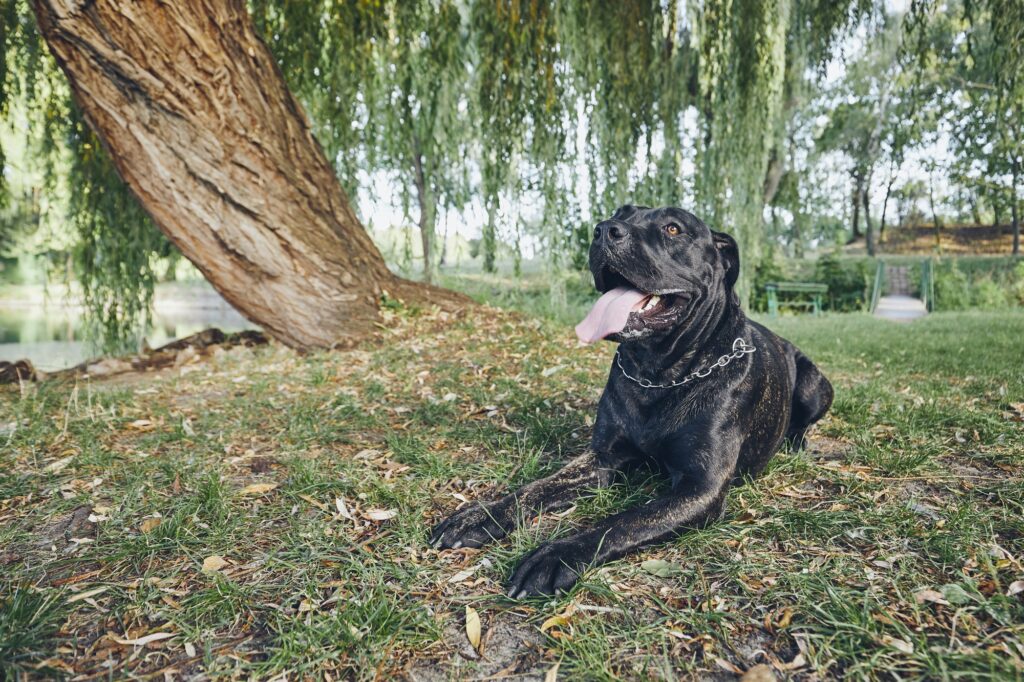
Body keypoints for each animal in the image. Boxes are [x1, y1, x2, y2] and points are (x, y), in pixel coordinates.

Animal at [428, 202, 835, 593]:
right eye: (620, 213)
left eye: (673, 228)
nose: (603, 229)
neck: (658, 374)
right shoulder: (602, 458)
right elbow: (534, 488)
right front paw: (482, 514)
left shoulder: (699, 487)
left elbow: (623, 521)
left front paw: (555, 555)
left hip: (815, 386)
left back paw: (796, 441)